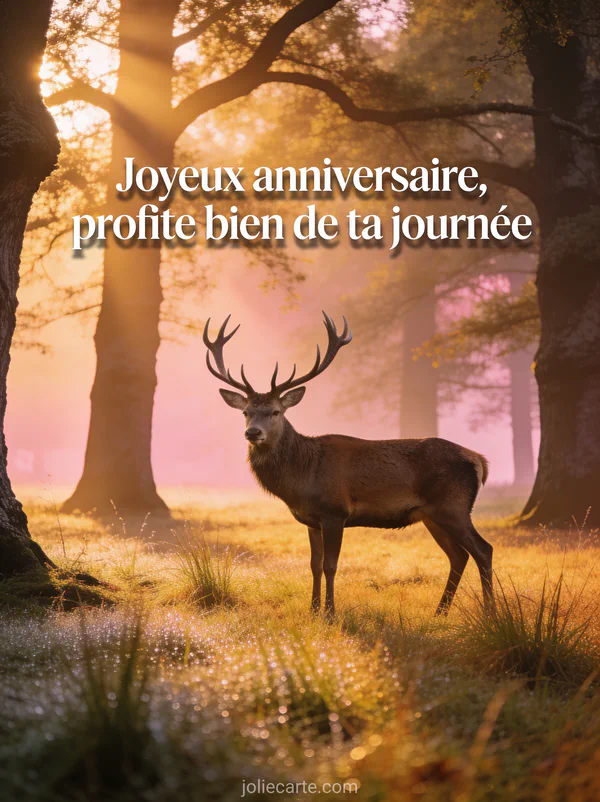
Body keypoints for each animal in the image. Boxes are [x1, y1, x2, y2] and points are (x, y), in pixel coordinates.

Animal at [203, 312, 493, 618]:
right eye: (246, 412)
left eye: (275, 411)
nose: (252, 433)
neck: (303, 478)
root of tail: (479, 460)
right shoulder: (311, 520)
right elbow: (313, 565)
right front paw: (313, 610)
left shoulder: (335, 511)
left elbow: (330, 565)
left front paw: (330, 613)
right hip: (431, 514)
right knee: (458, 555)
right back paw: (440, 612)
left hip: (453, 506)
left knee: (483, 550)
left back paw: (490, 612)